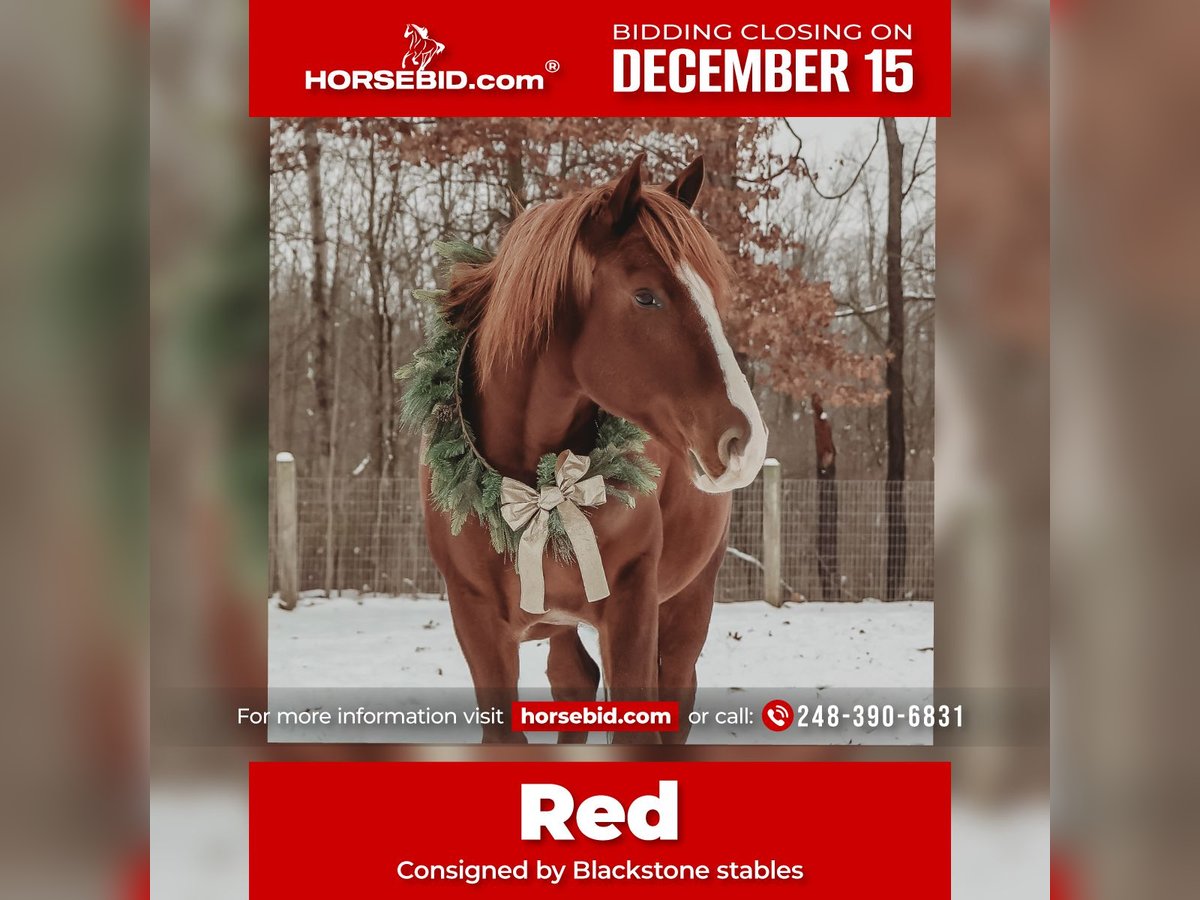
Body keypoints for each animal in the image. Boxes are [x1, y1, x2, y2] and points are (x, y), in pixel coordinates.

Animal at [422, 154, 768, 743]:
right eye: (646, 296)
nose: (746, 439)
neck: (532, 484)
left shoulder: (631, 606)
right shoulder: (476, 622)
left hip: (689, 601)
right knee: (573, 680)